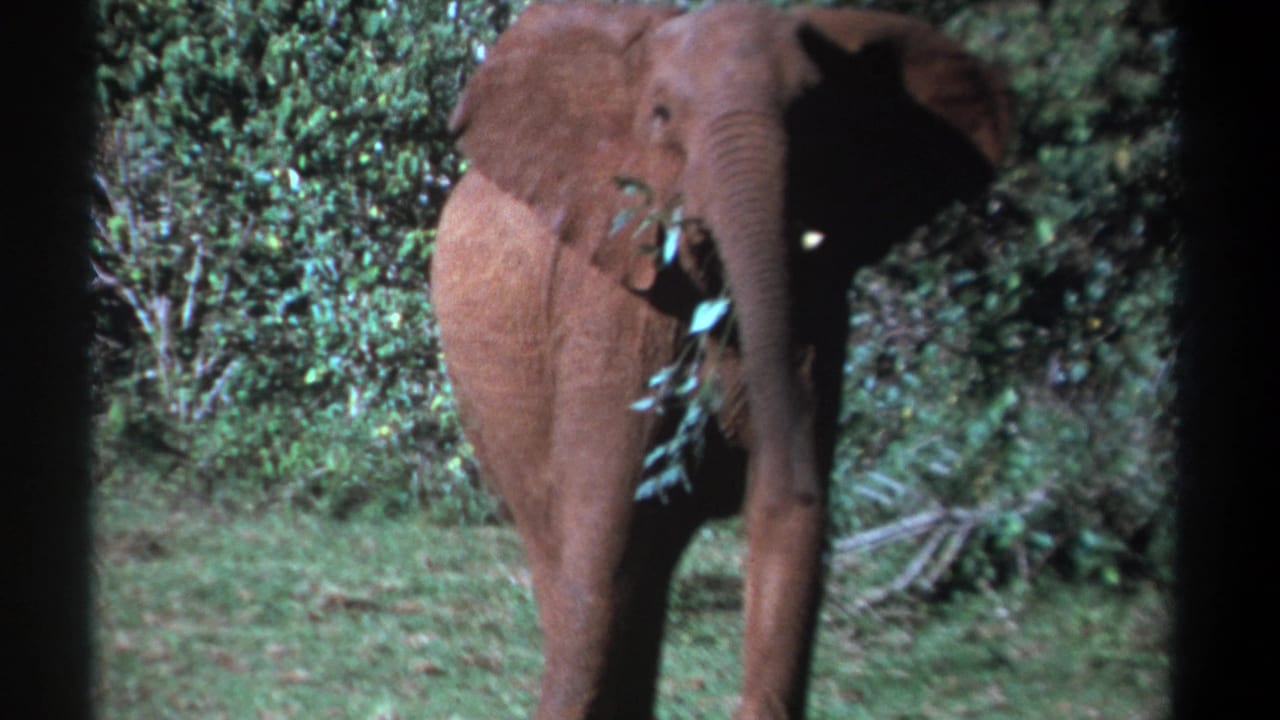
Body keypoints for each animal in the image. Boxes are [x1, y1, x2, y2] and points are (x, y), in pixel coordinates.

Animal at [430, 2, 1009, 718]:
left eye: (815, 115)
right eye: (660, 115)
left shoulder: (817, 308)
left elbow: (780, 536)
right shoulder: (607, 297)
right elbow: (603, 538)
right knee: (575, 550)